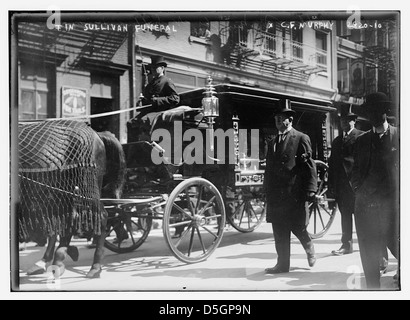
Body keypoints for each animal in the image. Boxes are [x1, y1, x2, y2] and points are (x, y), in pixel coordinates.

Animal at [19, 120, 125, 278]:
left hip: (86, 190)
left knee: (101, 216)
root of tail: (97, 134)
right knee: (65, 220)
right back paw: (55, 258)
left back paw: (94, 266)